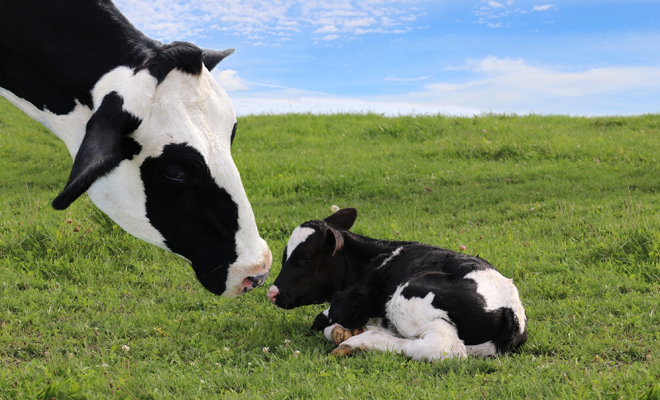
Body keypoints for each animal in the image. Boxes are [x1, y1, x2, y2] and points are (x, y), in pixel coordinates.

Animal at [267, 208, 527, 361]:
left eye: (307, 257)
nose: (272, 293)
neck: (372, 259)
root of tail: (511, 310)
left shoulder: (347, 304)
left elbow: (320, 322)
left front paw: (345, 332)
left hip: (408, 298)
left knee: (443, 347)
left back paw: (359, 340)